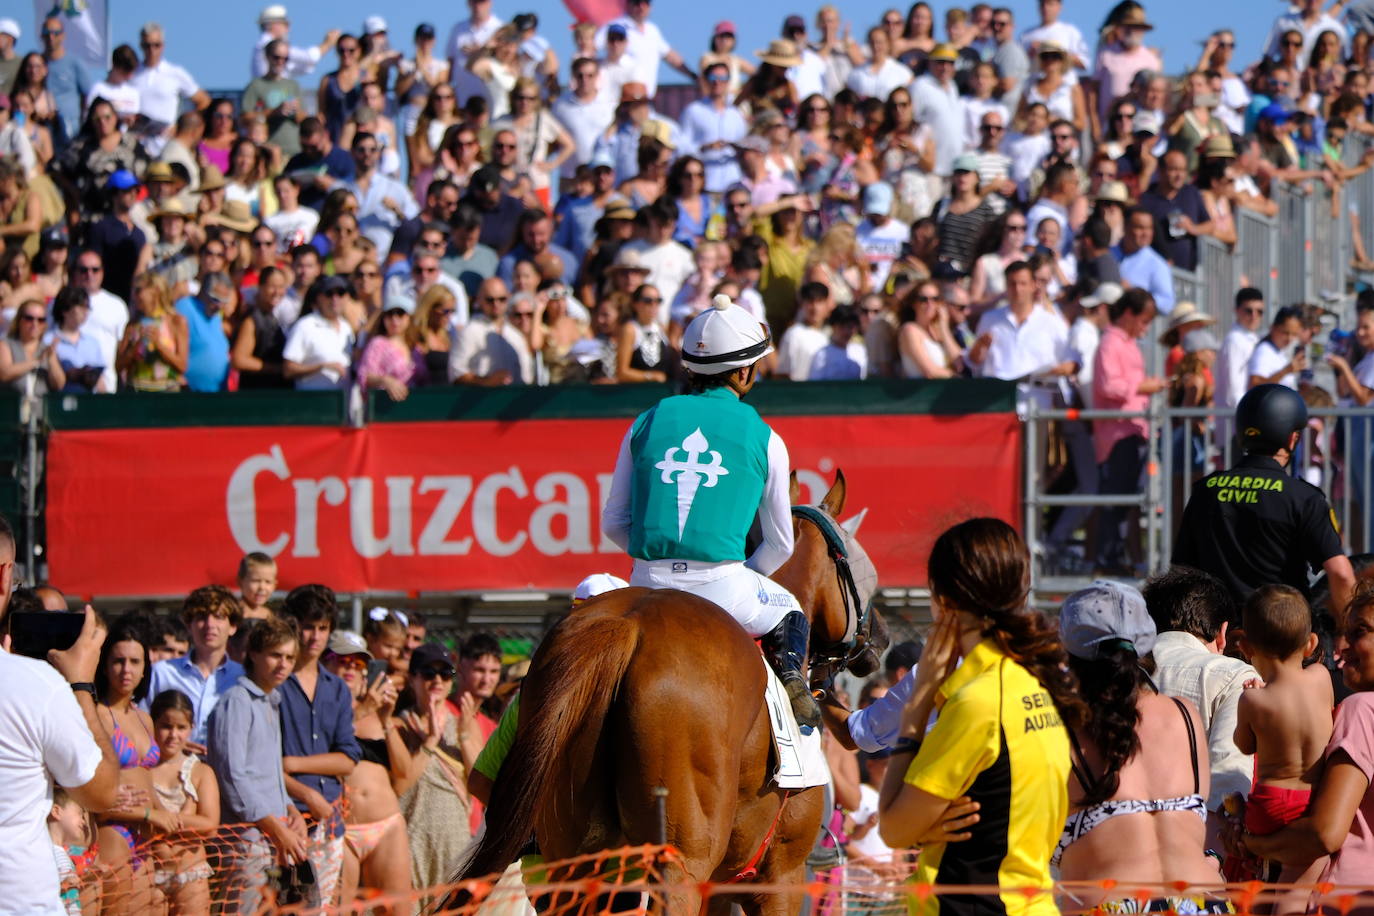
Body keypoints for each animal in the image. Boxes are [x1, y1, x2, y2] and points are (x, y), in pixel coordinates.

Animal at [445, 477, 884, 911]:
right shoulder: (781, 874)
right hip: (681, 860)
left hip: (572, 858)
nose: (879, 636)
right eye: (863, 568)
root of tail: (627, 625)